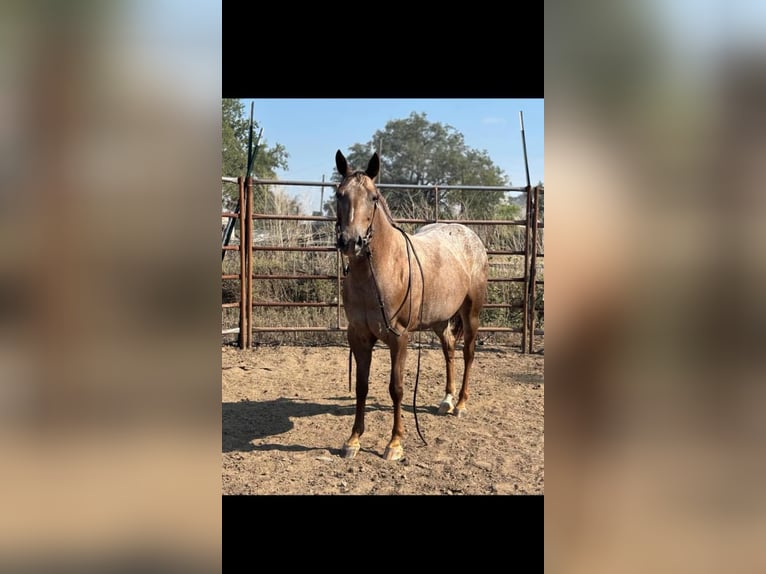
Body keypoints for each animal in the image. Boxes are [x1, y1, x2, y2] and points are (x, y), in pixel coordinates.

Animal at [336, 151, 492, 462]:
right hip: (439, 321)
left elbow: (396, 388)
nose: (351, 242)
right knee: (449, 350)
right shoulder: (358, 337)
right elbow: (361, 386)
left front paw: (395, 443)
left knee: (468, 353)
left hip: (471, 313)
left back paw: (460, 404)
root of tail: (469, 235)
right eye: (339, 194)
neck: (379, 270)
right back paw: (447, 400)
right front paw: (354, 440)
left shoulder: (399, 338)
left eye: (373, 197)